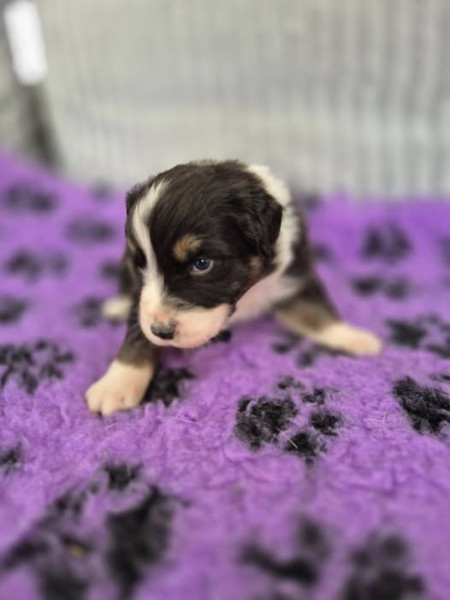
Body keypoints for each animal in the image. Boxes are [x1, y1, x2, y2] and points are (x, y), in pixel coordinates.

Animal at [86, 160, 382, 415]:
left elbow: (316, 310)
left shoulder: (295, 276)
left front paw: (353, 338)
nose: (161, 332)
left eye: (202, 263)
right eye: (141, 263)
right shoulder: (140, 288)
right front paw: (116, 385)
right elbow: (137, 332)